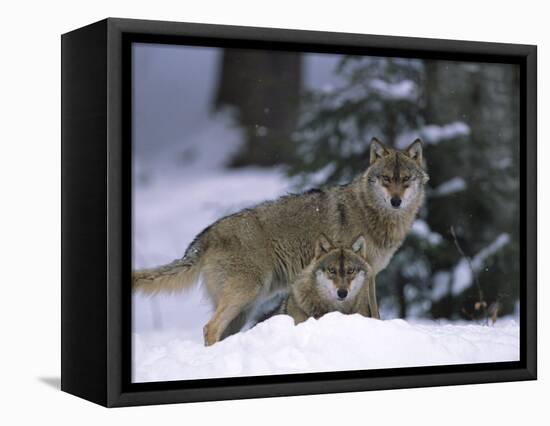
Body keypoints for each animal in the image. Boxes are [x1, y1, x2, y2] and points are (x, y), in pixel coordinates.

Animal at [135, 138, 432, 344]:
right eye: (386, 179)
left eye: (406, 179)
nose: (396, 201)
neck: (371, 213)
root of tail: (205, 236)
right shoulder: (366, 274)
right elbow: (373, 312)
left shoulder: (369, 275)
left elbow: (373, 312)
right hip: (245, 295)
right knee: (210, 328)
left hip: (245, 308)